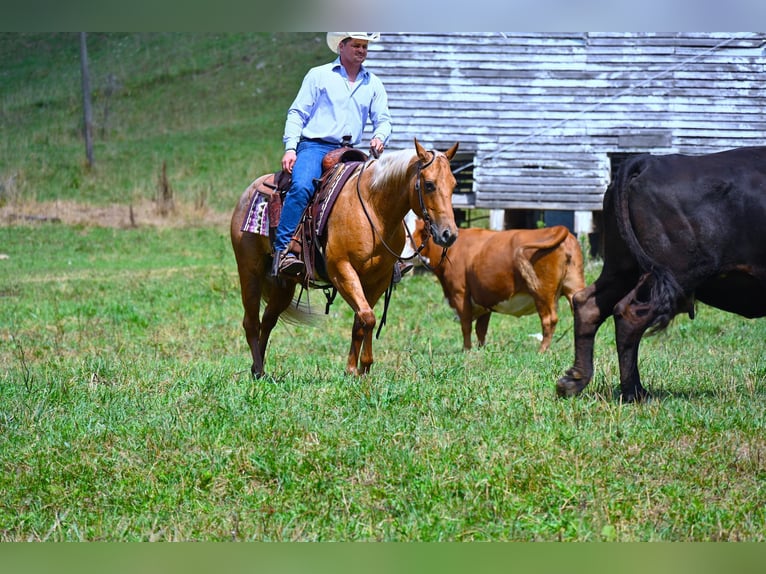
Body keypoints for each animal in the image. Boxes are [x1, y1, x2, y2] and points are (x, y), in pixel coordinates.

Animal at [231, 141, 460, 378]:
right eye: (429, 185)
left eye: (454, 185)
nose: (448, 234)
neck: (373, 209)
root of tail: (250, 191)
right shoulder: (342, 270)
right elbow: (368, 317)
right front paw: (360, 367)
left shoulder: (379, 278)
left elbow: (361, 319)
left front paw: (357, 368)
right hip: (250, 271)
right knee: (251, 322)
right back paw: (259, 369)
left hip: (284, 284)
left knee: (268, 320)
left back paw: (258, 370)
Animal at [560, 146, 766, 402]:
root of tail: (650, 162)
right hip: (673, 273)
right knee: (628, 314)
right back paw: (635, 393)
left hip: (623, 268)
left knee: (588, 304)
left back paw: (574, 381)